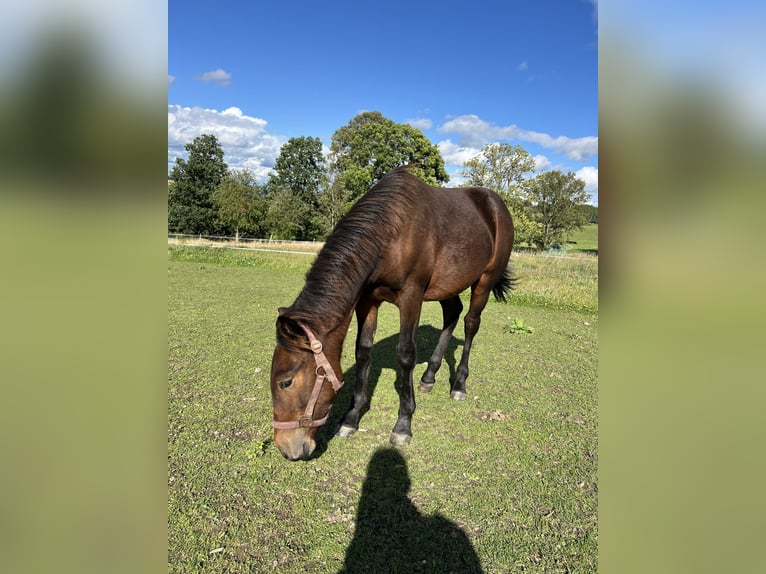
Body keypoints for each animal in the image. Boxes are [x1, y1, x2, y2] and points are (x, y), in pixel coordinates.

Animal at [270, 166, 514, 460]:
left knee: (470, 323)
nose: (286, 449)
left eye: (285, 382)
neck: (391, 232)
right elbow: (363, 352)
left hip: (484, 282)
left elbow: (406, 354)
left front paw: (403, 424)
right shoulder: (367, 300)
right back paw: (429, 376)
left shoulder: (411, 297)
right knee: (452, 314)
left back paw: (458, 384)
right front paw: (351, 417)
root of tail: (495, 204)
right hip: (448, 285)